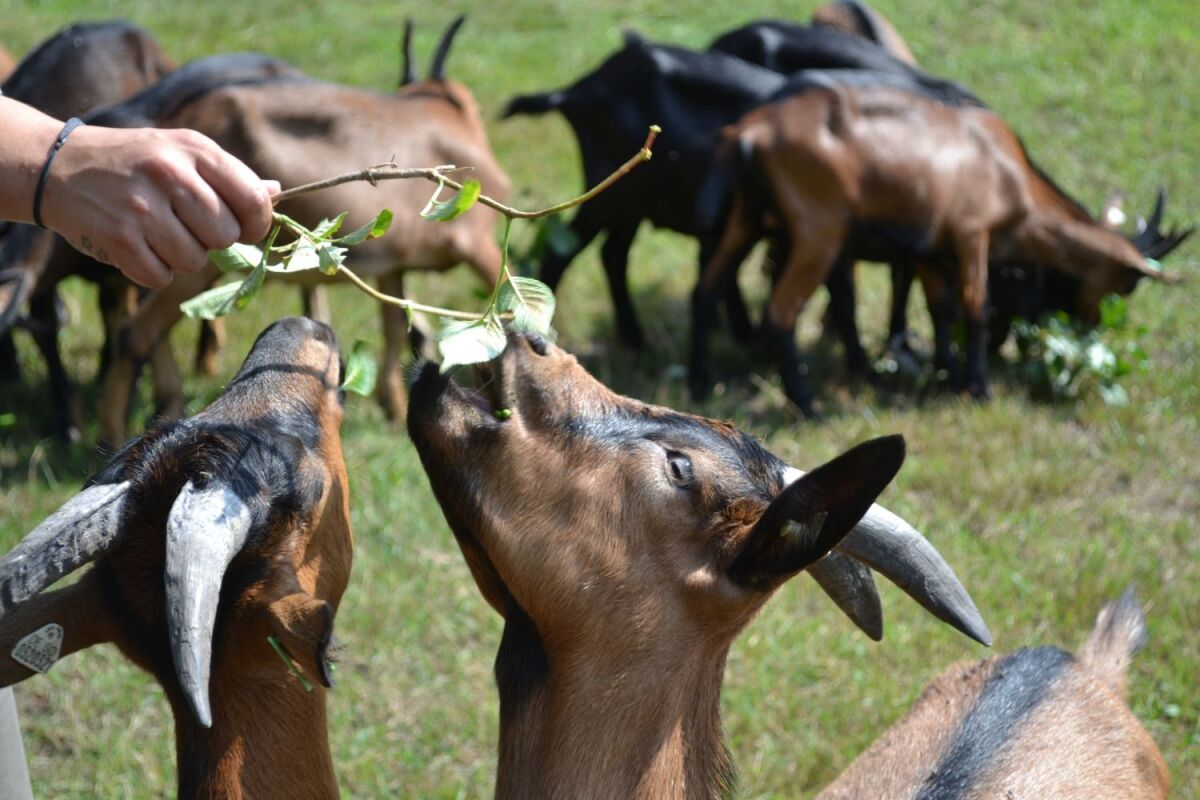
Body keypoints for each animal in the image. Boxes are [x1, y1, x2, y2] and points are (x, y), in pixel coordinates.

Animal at [93, 16, 507, 445]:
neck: (442, 116)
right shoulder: (477, 245)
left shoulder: (391, 266)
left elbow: (395, 328)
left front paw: (392, 406)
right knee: (135, 332)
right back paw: (111, 433)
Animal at [691, 73, 1181, 415]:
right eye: (1128, 285)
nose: (1090, 327)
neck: (1010, 171)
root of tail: (750, 131)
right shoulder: (971, 232)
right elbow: (975, 304)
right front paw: (978, 388)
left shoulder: (931, 246)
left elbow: (939, 307)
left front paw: (946, 374)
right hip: (820, 230)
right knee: (781, 311)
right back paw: (806, 404)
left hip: (747, 220)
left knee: (706, 288)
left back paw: (704, 381)